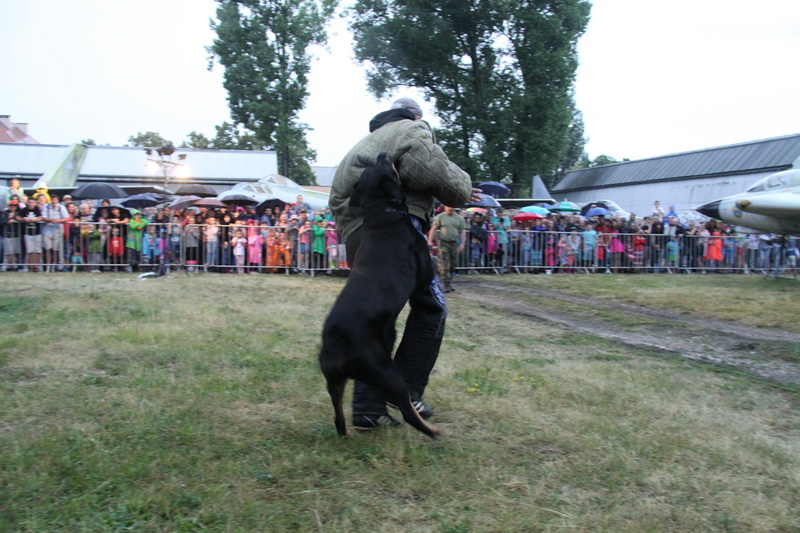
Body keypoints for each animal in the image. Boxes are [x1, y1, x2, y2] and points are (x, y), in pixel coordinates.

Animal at [318, 152, 444, 438]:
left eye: (377, 164)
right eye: (385, 166)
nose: (383, 154)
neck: (381, 211)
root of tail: (338, 344)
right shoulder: (422, 269)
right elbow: (430, 262)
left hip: (334, 381)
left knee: (338, 416)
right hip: (388, 373)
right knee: (407, 411)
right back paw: (434, 431)